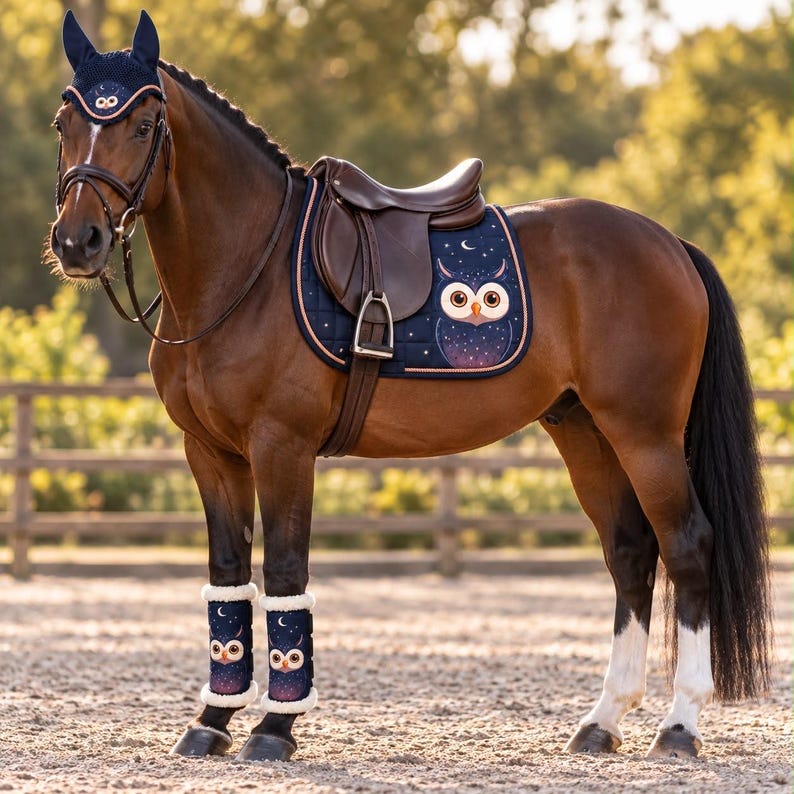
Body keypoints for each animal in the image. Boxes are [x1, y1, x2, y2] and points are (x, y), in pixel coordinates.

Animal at [47, 11, 771, 763]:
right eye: (63, 122)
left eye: (143, 124)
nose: (77, 242)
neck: (246, 270)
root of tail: (669, 243)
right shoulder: (210, 454)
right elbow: (227, 574)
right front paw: (211, 720)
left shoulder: (282, 448)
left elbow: (285, 574)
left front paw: (274, 728)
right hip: (585, 430)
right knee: (630, 553)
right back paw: (602, 720)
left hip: (646, 433)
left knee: (687, 547)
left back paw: (679, 725)